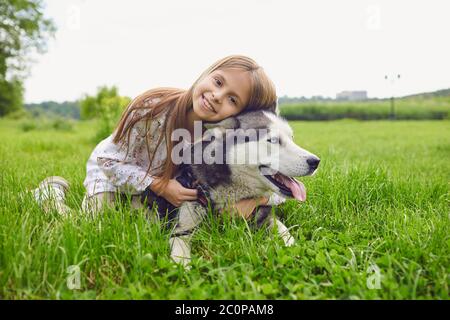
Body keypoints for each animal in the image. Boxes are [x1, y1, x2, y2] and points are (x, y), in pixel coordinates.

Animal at [143, 110, 320, 268]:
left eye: (292, 138)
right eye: (273, 140)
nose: (316, 161)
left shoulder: (264, 214)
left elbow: (285, 232)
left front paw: (294, 248)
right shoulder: (181, 229)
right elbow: (180, 251)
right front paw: (182, 269)